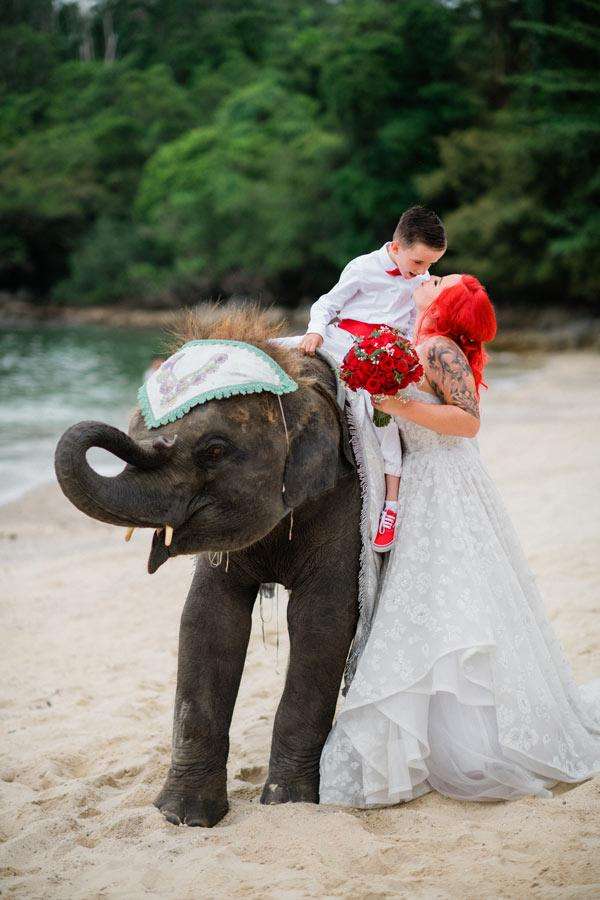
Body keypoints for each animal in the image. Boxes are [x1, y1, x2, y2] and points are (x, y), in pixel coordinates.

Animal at [54, 306, 362, 828]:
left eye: (214, 451)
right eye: (134, 430)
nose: (150, 438)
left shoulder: (345, 500)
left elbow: (322, 621)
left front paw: (288, 804)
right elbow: (208, 618)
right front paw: (182, 817)